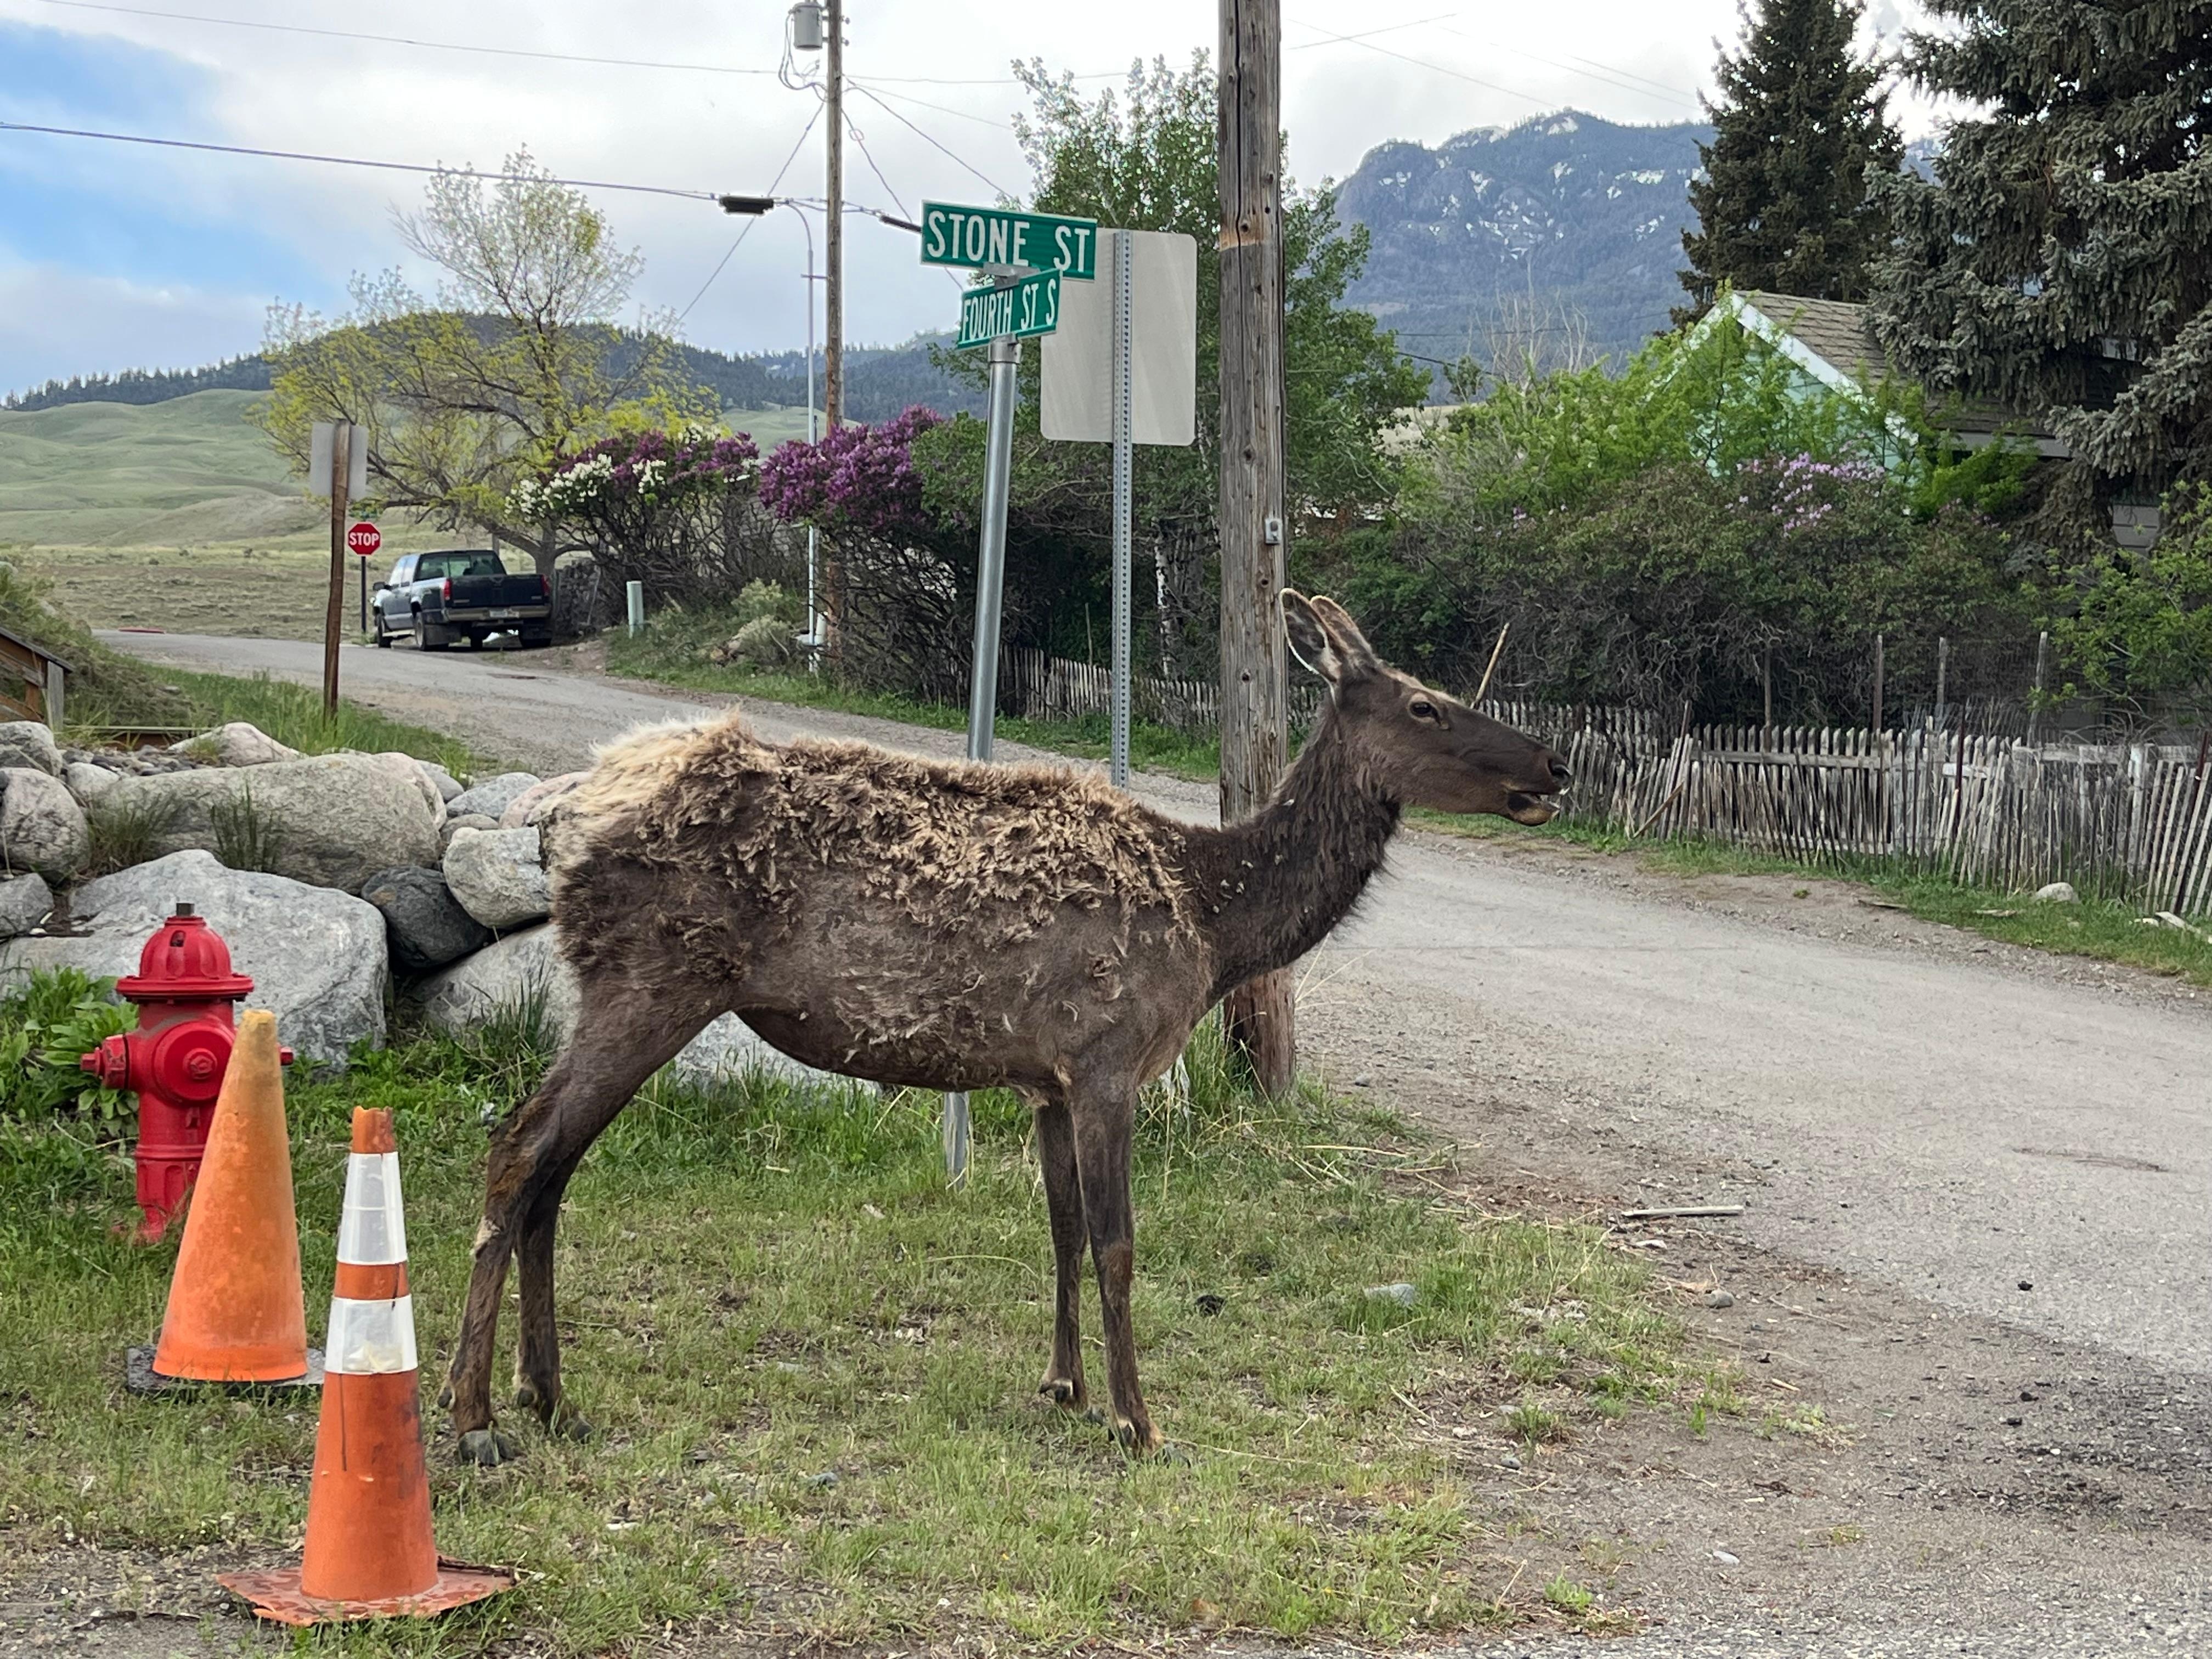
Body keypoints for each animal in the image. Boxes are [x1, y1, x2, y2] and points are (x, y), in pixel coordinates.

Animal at [442, 592, 1569, 1464]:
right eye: (1425, 703)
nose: (1552, 768)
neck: (1216, 920)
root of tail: (568, 818)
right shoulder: (1108, 1056)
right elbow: (1117, 1241)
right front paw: (1138, 1419)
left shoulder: (1045, 1078)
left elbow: (1061, 1231)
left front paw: (1065, 1385)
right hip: (654, 982)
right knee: (520, 1148)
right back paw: (476, 1415)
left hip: (626, 989)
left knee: (553, 1166)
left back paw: (550, 1396)